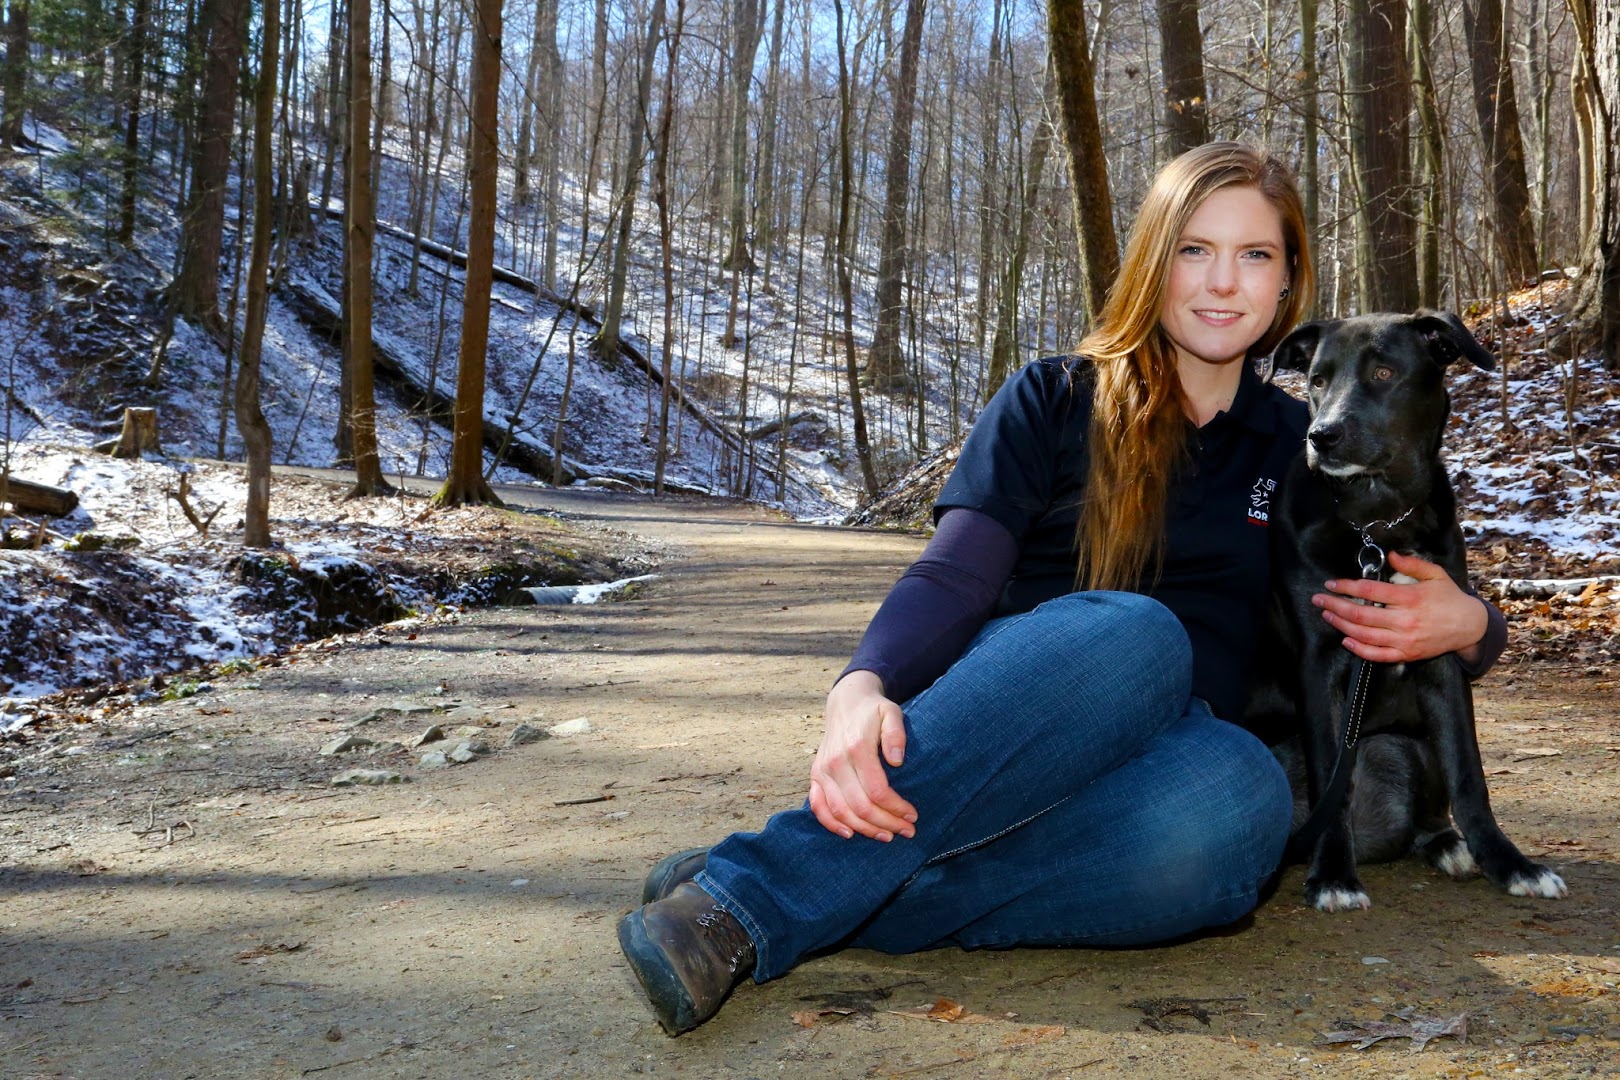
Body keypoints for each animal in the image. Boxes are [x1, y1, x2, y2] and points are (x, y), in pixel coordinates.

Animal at [1250, 310, 1568, 913]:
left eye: (1383, 372)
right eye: (1318, 379)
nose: (1321, 436)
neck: (1377, 521)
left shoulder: (1443, 651)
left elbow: (1470, 776)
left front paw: (1510, 864)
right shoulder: (1318, 660)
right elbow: (1332, 779)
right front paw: (1333, 874)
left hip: (1415, 742)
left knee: (1431, 807)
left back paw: (1446, 843)